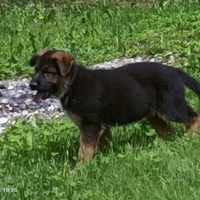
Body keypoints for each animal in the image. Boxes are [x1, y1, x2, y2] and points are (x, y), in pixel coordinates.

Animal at [28, 49, 200, 165]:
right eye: (36, 70)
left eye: (48, 72)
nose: (31, 85)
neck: (71, 83)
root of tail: (174, 70)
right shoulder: (100, 127)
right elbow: (98, 147)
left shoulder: (90, 125)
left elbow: (84, 151)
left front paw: (78, 171)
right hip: (155, 115)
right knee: (168, 131)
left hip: (171, 107)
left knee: (194, 116)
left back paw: (190, 138)